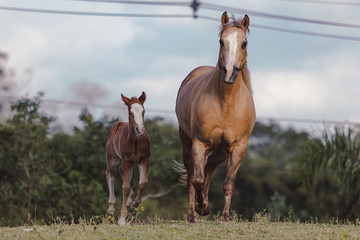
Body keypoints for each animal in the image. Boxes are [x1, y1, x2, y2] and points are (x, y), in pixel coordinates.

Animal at [105, 91, 150, 225]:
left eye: (143, 111)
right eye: (130, 113)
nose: (140, 130)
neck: (135, 140)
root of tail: (118, 124)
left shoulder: (144, 159)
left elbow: (143, 183)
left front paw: (134, 204)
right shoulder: (127, 161)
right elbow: (124, 188)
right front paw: (122, 219)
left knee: (123, 173)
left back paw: (130, 202)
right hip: (112, 158)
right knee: (110, 174)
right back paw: (111, 209)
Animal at [175, 12, 256, 224]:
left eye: (244, 43)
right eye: (221, 41)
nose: (229, 72)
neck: (226, 104)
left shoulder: (238, 148)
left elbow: (228, 183)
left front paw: (225, 217)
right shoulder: (199, 143)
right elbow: (197, 180)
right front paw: (201, 207)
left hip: (221, 150)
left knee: (209, 167)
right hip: (187, 143)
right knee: (192, 176)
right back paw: (193, 213)